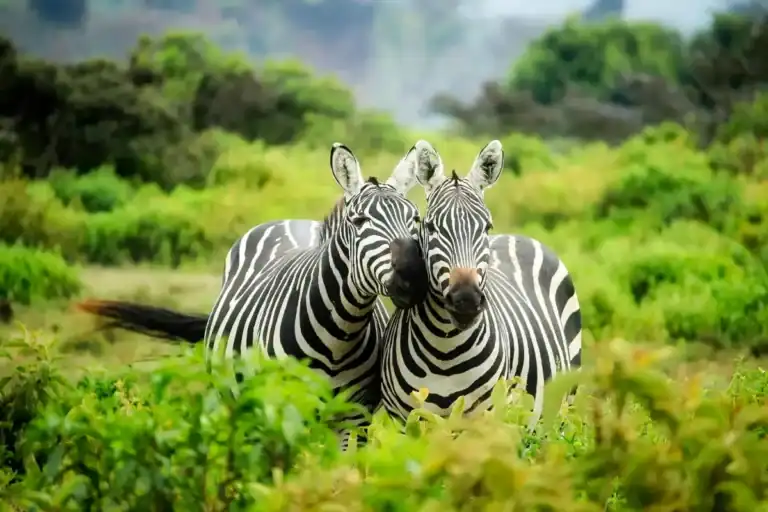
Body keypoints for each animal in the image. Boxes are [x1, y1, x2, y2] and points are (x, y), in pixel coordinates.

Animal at [77, 142, 429, 448]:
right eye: (359, 221)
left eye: (415, 219)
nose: (414, 276)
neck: (339, 336)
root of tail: (291, 220)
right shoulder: (282, 408)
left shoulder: (354, 418)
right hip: (238, 400)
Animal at [380, 139, 582, 431]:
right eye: (430, 227)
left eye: (486, 227)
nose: (466, 300)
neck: (444, 351)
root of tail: (517, 236)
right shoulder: (405, 422)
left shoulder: (485, 419)